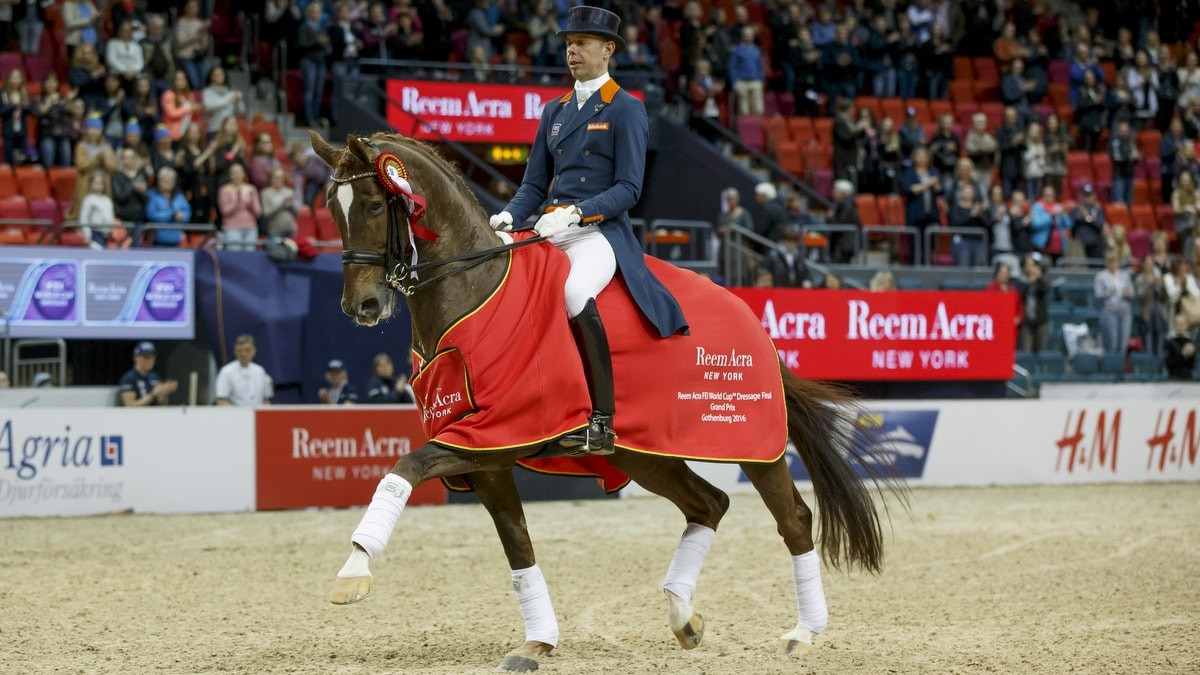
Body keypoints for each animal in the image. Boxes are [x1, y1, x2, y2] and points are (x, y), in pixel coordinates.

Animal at [309, 130, 902, 667]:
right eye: (332, 212)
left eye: (371, 204)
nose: (360, 306)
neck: (473, 292)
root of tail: (754, 321)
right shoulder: (485, 458)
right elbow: (518, 545)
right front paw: (538, 641)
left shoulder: (491, 434)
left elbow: (402, 469)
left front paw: (353, 572)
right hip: (645, 454)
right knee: (709, 504)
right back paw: (684, 617)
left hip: (753, 444)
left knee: (794, 520)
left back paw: (803, 632)